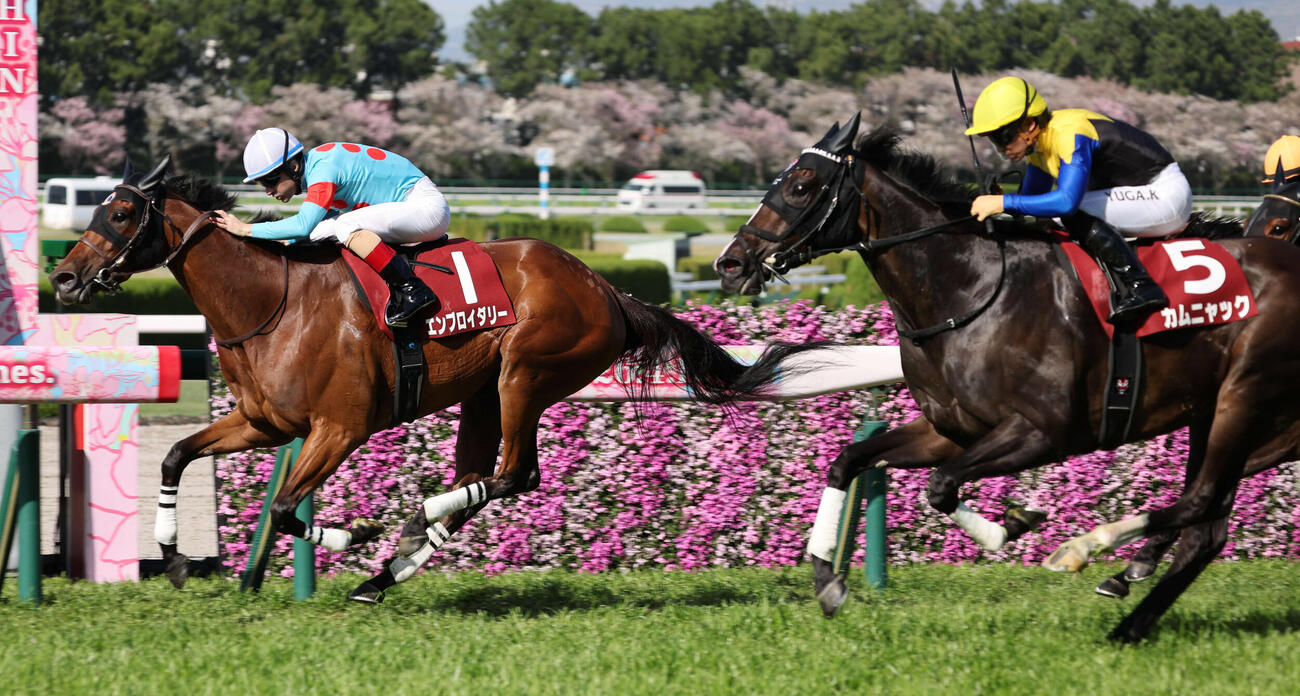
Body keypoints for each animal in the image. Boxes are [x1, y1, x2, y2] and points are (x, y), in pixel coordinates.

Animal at [50, 157, 823, 603]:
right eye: (99, 207)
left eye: (122, 211)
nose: (63, 276)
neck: (272, 301)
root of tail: (606, 288)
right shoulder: (266, 422)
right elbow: (180, 457)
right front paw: (178, 560)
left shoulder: (340, 428)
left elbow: (288, 506)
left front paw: (355, 533)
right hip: (483, 394)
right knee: (486, 479)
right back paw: (392, 569)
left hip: (525, 374)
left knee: (514, 475)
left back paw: (408, 530)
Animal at [713, 114, 1300, 643]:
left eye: (801, 185)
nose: (730, 262)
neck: (971, 290)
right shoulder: (950, 430)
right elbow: (853, 462)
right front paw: (827, 583)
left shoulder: (1045, 432)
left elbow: (941, 485)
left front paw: (1011, 525)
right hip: (1214, 412)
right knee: (1207, 526)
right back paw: (1129, 622)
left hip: (1242, 400)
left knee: (1201, 503)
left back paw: (1085, 554)